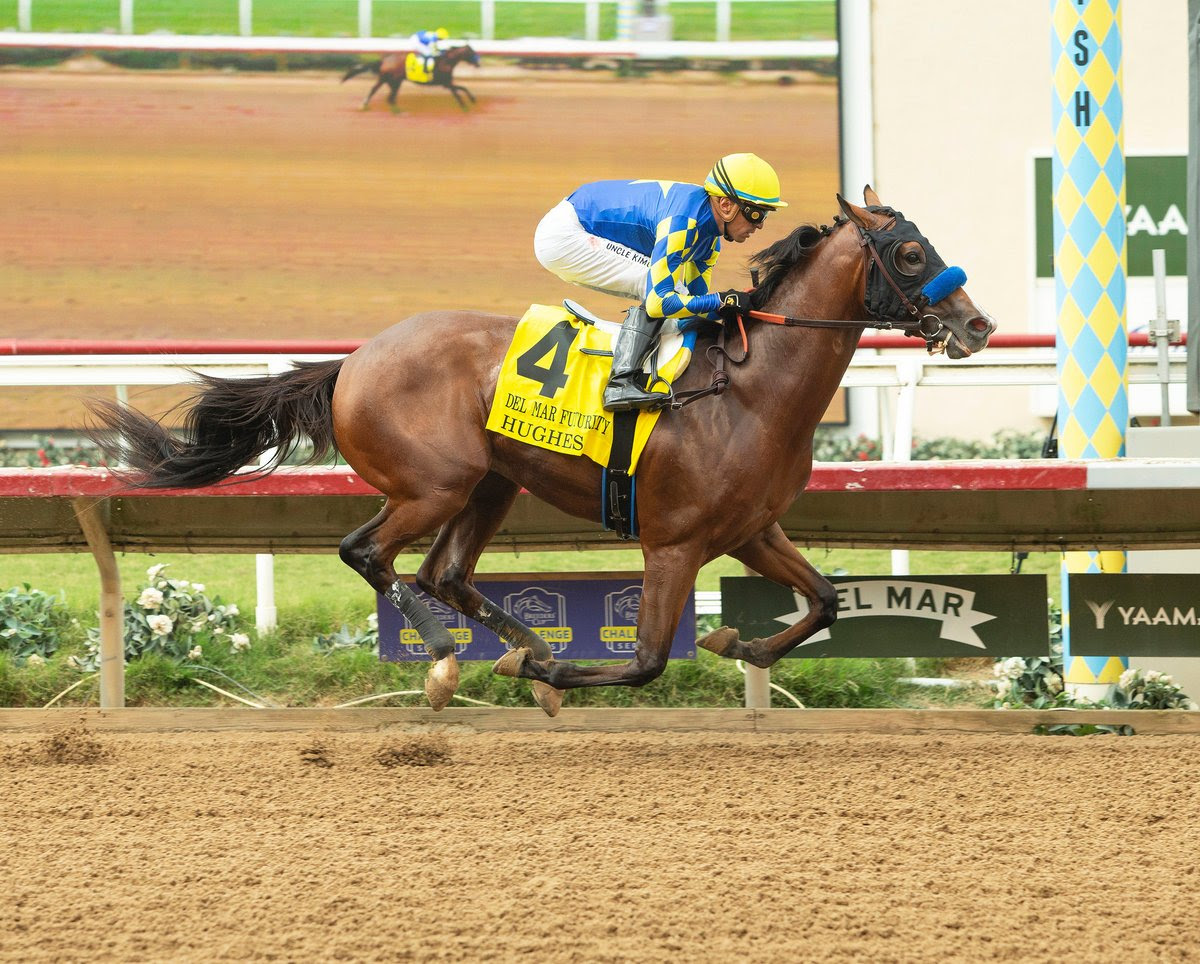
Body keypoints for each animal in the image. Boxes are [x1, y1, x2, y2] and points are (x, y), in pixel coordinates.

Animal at [85, 189, 995, 717]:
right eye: (910, 252)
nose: (978, 326)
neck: (750, 388)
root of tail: (356, 359)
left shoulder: (751, 530)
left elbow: (828, 603)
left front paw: (741, 647)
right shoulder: (674, 543)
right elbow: (648, 662)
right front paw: (555, 678)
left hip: (491, 484)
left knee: (441, 573)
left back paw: (528, 647)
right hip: (433, 485)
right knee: (368, 554)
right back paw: (453, 661)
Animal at [341, 44, 481, 112]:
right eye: (471, 53)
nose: (478, 64)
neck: (446, 61)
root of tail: (385, 59)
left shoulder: (446, 83)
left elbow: (462, 88)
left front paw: (472, 100)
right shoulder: (446, 83)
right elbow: (458, 91)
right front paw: (466, 105)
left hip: (390, 81)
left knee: (387, 96)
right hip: (391, 80)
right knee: (380, 93)